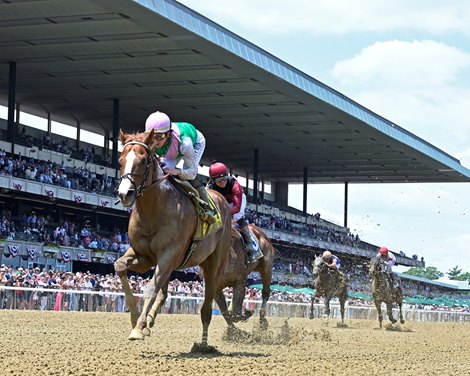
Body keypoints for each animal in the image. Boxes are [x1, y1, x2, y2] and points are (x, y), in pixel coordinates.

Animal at [114, 131, 231, 348]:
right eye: (120, 161)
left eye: (143, 161)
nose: (125, 194)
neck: (154, 210)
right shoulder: (143, 256)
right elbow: (120, 267)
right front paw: (136, 319)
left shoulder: (167, 256)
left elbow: (151, 288)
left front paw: (138, 328)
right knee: (165, 293)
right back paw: (149, 321)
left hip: (213, 263)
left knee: (207, 304)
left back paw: (203, 344)